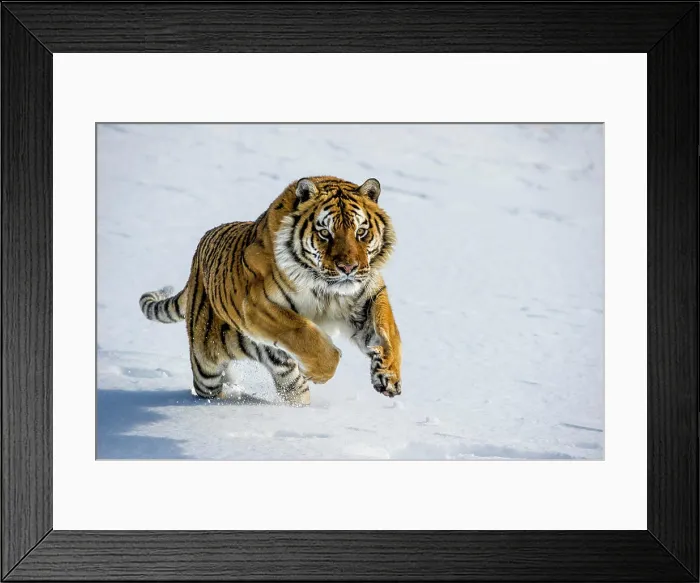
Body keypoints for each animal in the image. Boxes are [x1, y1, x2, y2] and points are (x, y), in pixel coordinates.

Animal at [139, 176, 402, 406]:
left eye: (361, 232)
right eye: (325, 233)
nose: (348, 268)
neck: (327, 289)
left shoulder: (368, 294)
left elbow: (388, 330)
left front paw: (388, 374)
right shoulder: (257, 305)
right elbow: (303, 332)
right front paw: (320, 372)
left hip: (282, 373)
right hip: (206, 366)